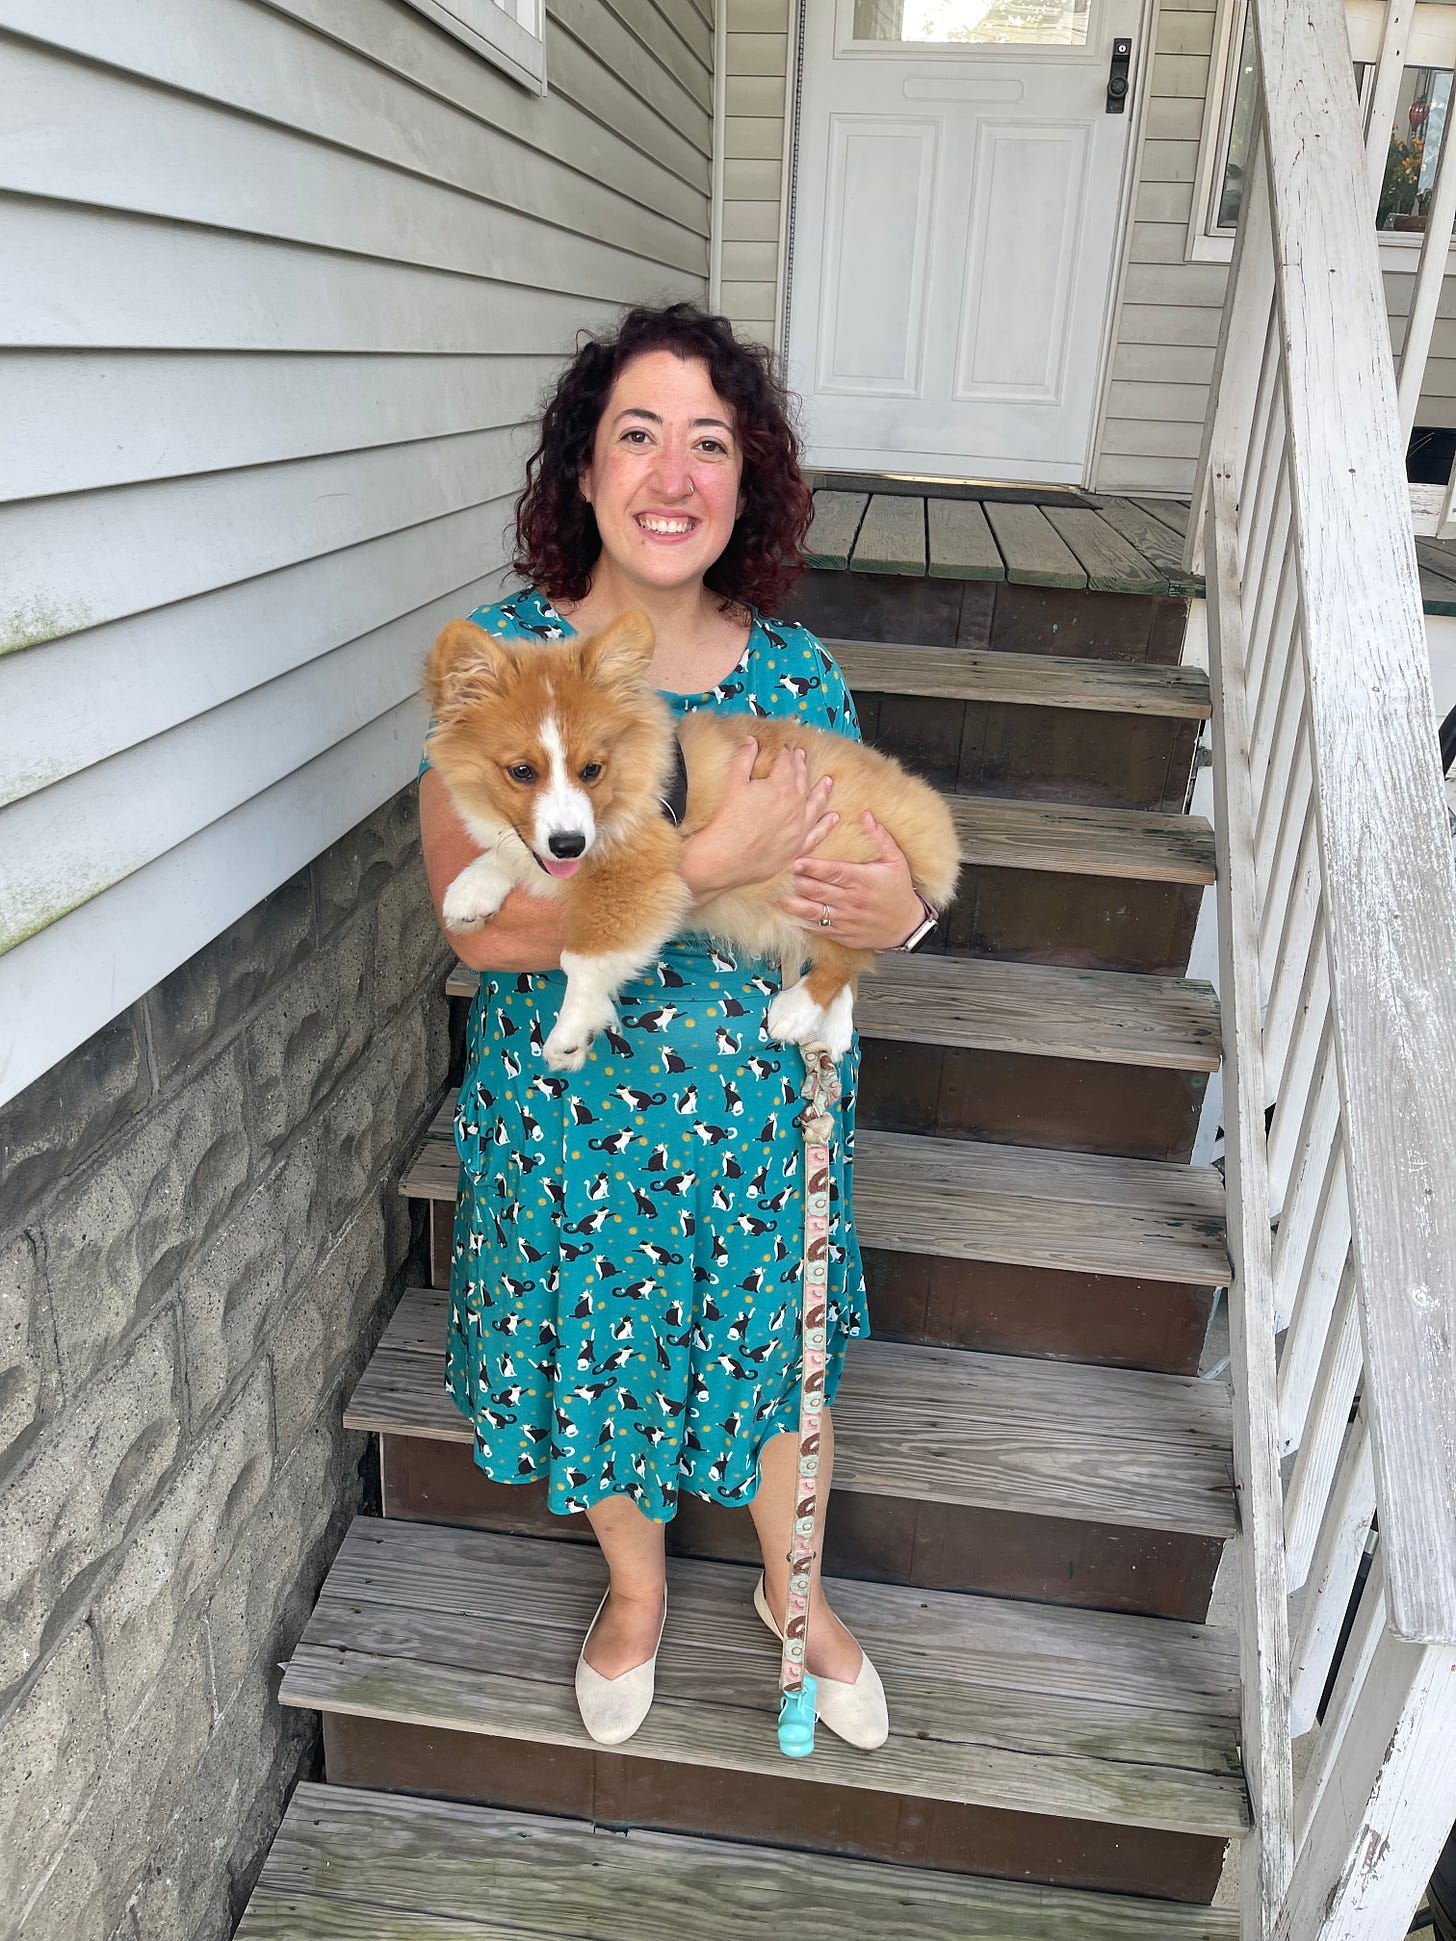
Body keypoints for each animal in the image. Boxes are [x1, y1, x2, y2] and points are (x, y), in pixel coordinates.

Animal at [427, 605, 962, 1071]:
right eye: (522, 772)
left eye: (591, 769)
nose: (569, 845)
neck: (630, 781)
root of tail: (934, 817)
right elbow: (512, 852)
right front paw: (470, 891)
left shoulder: (637, 880)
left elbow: (582, 959)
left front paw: (571, 1034)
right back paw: (832, 1031)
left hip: (849, 872)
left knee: (847, 959)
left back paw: (796, 1013)